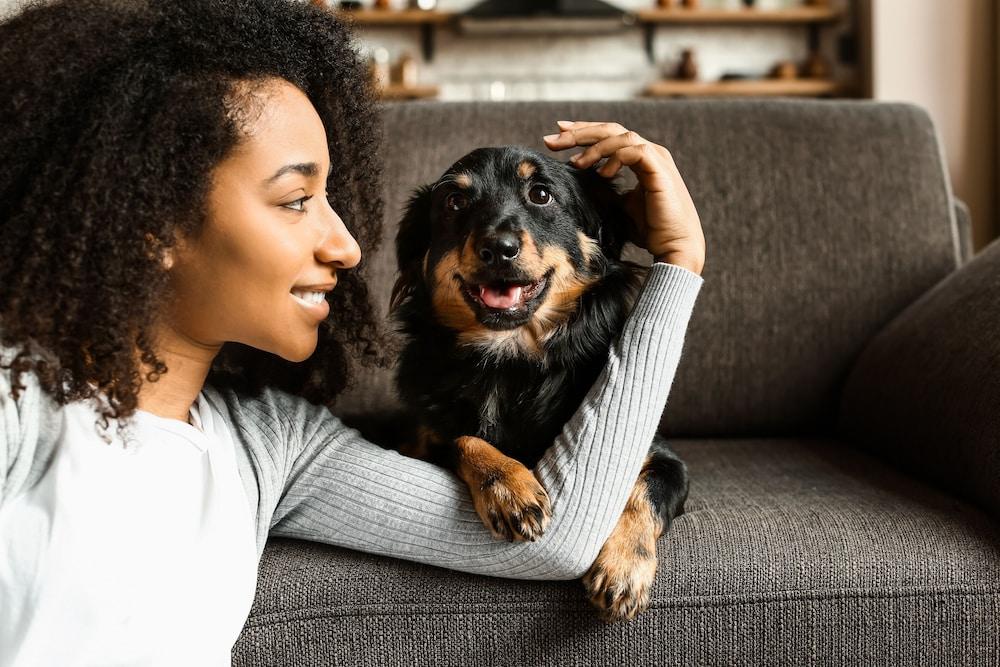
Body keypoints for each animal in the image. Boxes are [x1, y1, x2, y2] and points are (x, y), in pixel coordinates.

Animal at [364, 145, 692, 620]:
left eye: (541, 195)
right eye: (454, 202)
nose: (498, 249)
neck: (510, 360)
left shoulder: (665, 459)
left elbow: (642, 493)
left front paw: (624, 568)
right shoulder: (421, 439)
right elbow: (463, 438)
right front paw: (508, 488)